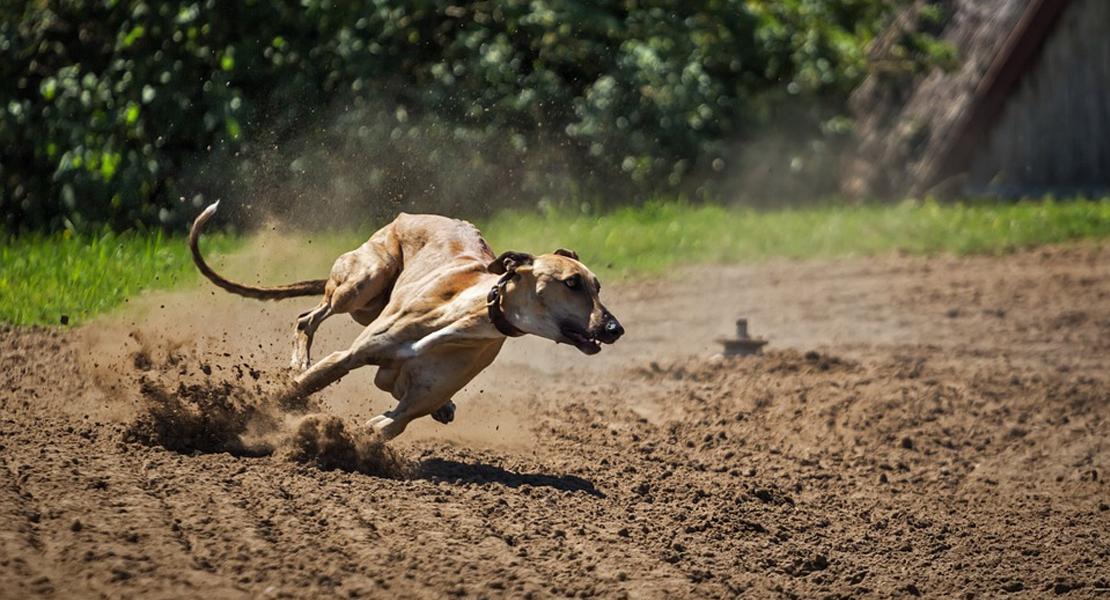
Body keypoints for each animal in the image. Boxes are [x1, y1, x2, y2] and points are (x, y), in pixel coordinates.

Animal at [190, 204, 626, 436]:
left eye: (598, 285)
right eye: (572, 283)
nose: (615, 329)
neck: (465, 315)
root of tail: (409, 214)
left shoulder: (410, 405)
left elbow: (387, 424)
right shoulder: (348, 357)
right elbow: (303, 384)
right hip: (364, 279)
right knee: (307, 318)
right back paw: (299, 359)